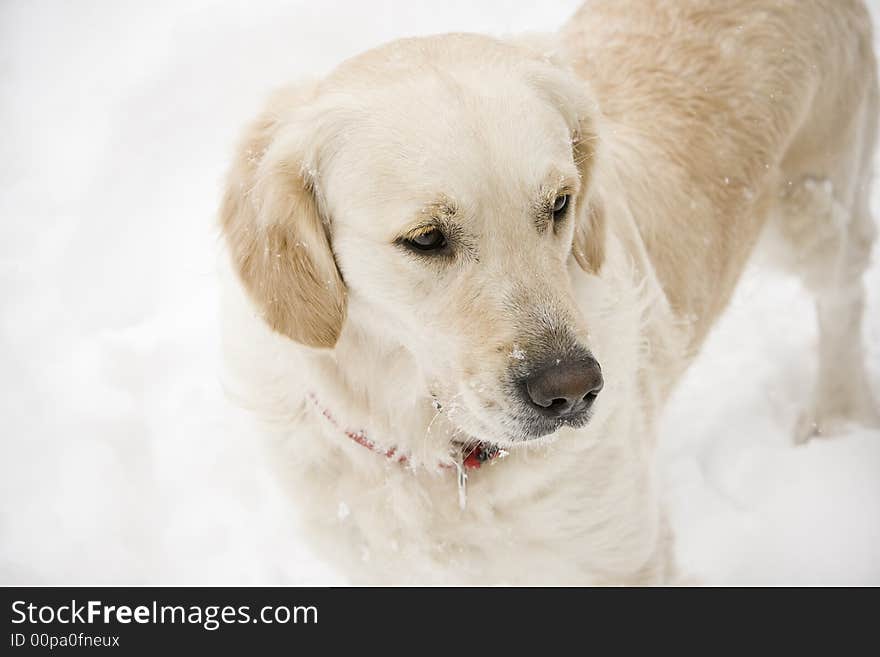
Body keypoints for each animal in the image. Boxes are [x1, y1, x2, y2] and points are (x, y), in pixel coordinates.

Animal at [217, 0, 876, 584]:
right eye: (426, 238)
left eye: (560, 204)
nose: (573, 389)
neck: (437, 456)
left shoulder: (628, 561)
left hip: (814, 202)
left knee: (843, 296)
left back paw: (835, 414)